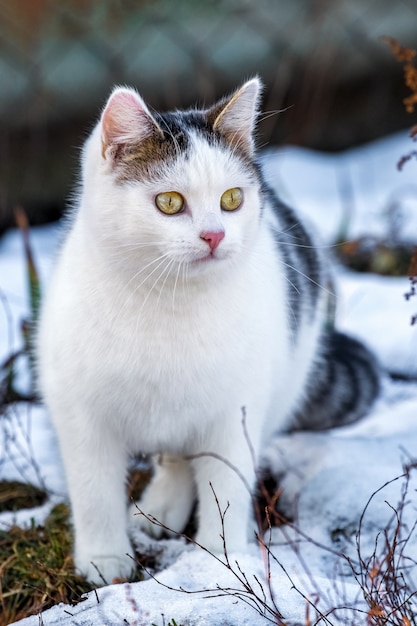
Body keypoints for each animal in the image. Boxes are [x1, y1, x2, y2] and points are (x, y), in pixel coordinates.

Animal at [37, 77, 378, 580]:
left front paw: (221, 563)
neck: (169, 305)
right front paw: (104, 560)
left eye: (232, 199)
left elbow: (227, 487)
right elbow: (94, 492)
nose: (215, 235)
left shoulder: (234, 413)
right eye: (169, 202)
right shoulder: (80, 412)